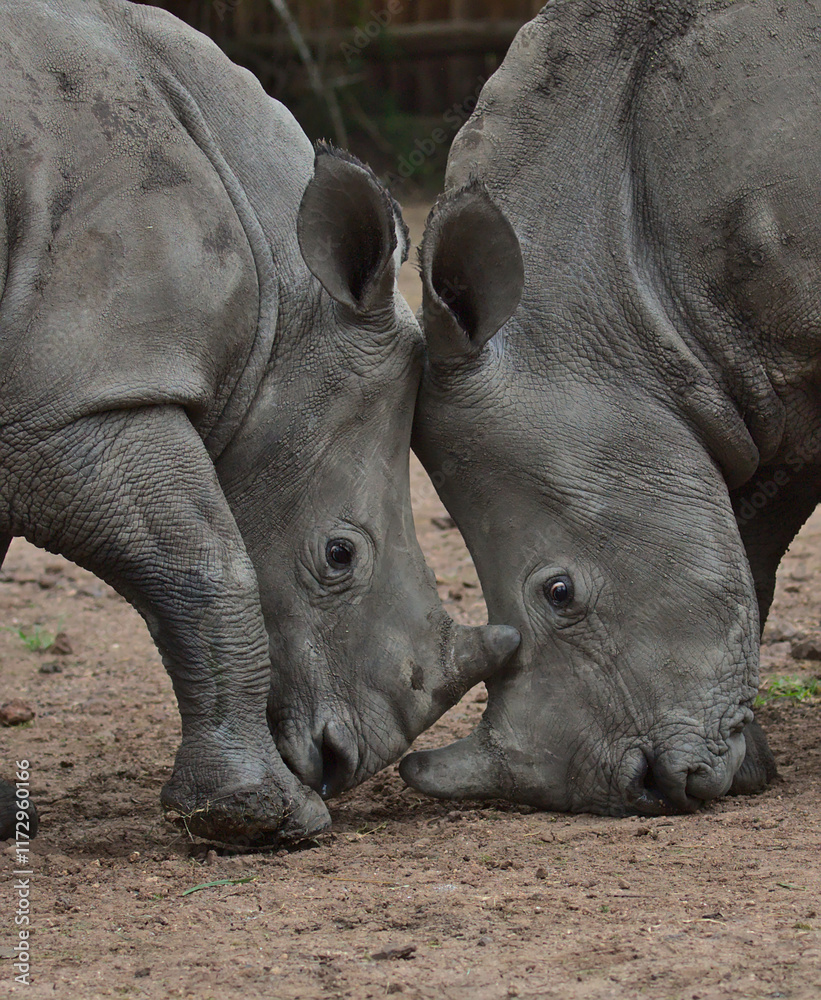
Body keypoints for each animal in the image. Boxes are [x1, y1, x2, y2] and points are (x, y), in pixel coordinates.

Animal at [0, 0, 519, 845]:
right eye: (339, 555)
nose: (347, 761)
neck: (280, 309)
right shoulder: (77, 399)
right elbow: (206, 562)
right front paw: (263, 819)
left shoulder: (43, 397)